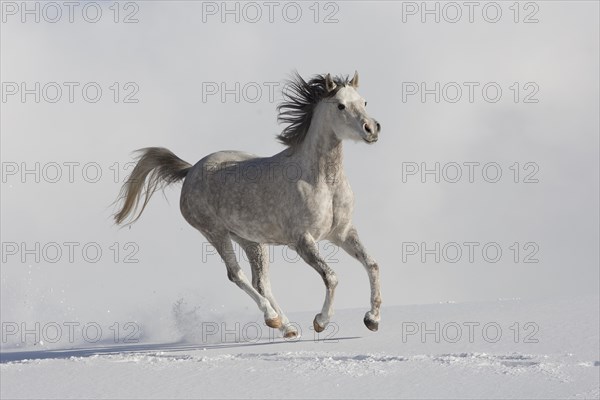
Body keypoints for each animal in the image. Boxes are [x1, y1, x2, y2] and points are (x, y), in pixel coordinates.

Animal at [115, 72, 382, 338]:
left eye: (364, 102)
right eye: (340, 105)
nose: (371, 129)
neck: (323, 182)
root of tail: (191, 170)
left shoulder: (342, 233)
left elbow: (372, 265)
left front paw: (372, 320)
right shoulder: (303, 241)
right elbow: (331, 276)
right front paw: (321, 321)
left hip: (251, 240)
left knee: (261, 282)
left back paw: (288, 328)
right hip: (215, 233)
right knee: (236, 274)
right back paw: (272, 318)